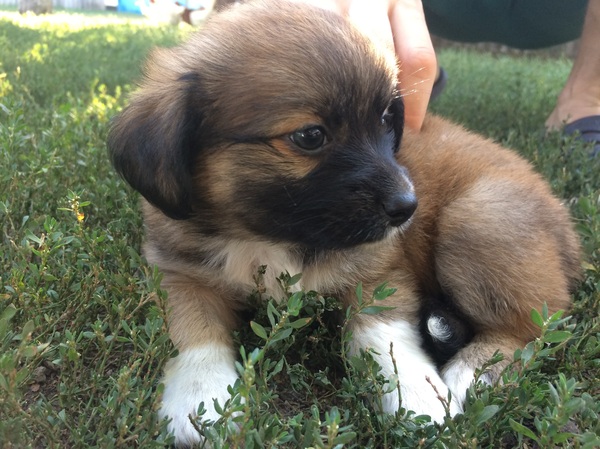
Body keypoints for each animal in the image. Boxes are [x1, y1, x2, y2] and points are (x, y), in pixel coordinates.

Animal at [108, 0, 580, 444]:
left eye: (387, 119)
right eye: (310, 136)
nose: (408, 207)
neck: (270, 235)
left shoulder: (380, 270)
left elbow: (382, 334)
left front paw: (415, 395)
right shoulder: (179, 271)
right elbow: (194, 330)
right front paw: (201, 396)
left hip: (475, 219)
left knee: (536, 326)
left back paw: (475, 371)